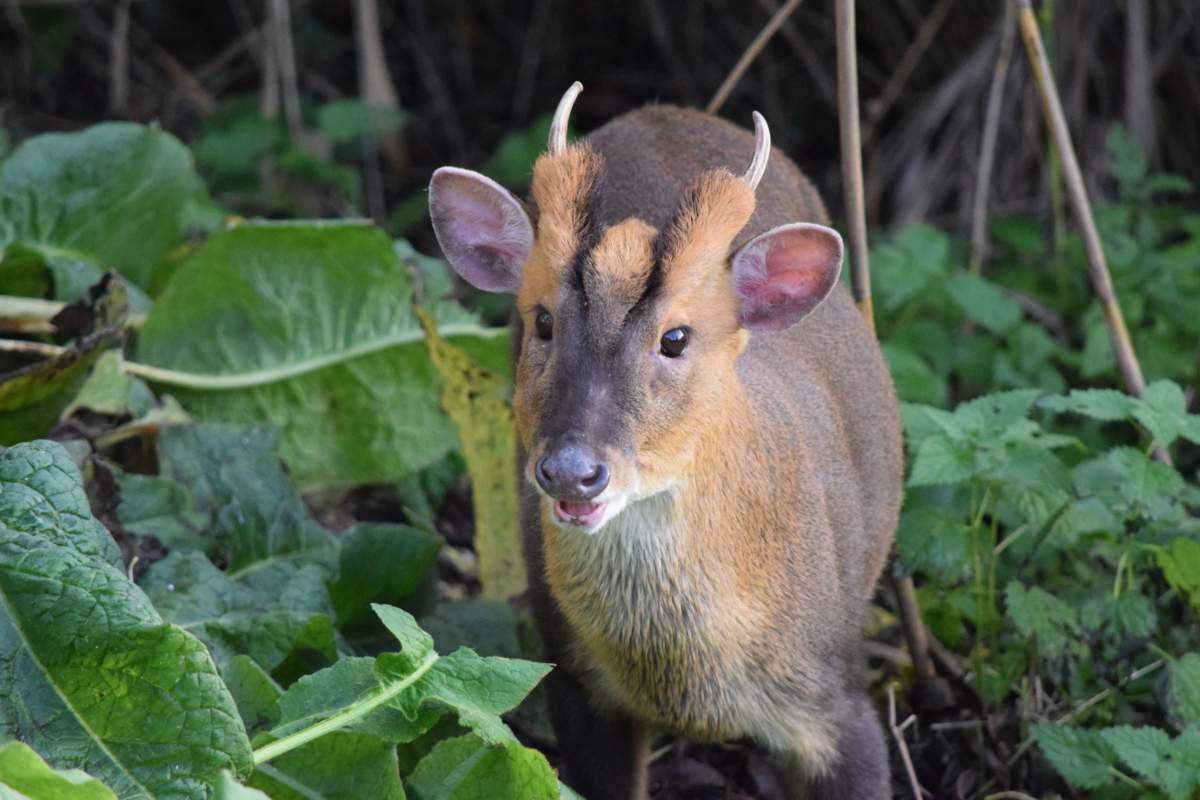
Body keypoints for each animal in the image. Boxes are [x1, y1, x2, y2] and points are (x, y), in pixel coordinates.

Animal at [429, 84, 902, 796]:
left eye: (675, 338)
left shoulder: (838, 702)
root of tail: (660, 109)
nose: (571, 470)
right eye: (543, 321)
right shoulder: (577, 686)